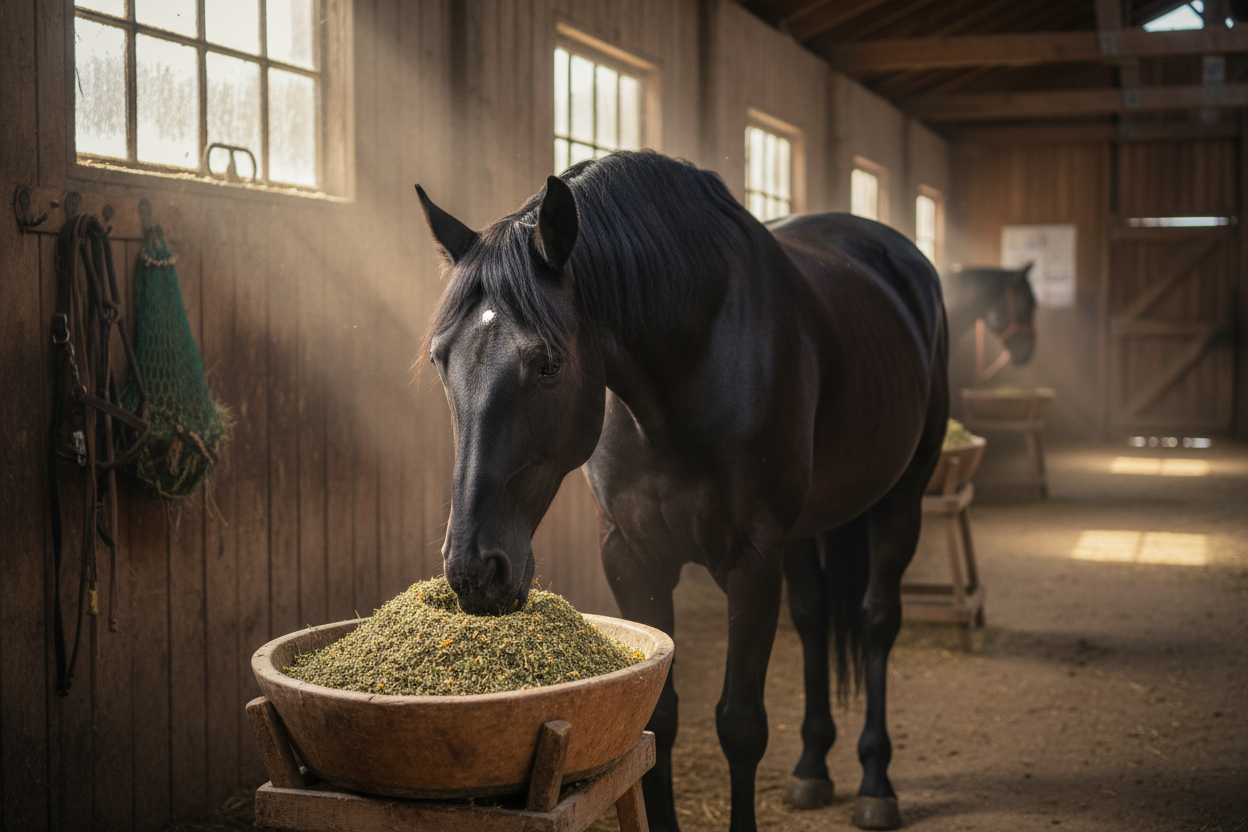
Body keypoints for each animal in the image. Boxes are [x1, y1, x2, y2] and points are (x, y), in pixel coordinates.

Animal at [416, 150, 948, 832]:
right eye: (440, 360)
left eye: (548, 364)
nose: (473, 570)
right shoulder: (632, 555)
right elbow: (658, 718)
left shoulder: (752, 560)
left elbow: (741, 724)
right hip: (804, 530)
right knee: (815, 617)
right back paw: (812, 769)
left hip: (901, 499)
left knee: (878, 623)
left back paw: (877, 783)